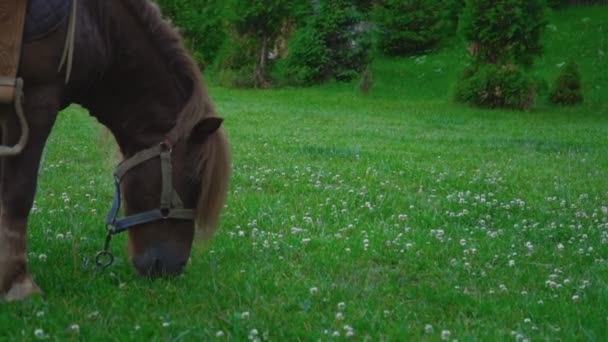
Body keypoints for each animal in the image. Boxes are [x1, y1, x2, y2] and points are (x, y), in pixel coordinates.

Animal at [0, 0, 230, 300]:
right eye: (194, 181)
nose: (172, 269)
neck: (99, 27)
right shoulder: (35, 103)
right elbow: (18, 193)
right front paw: (18, 284)